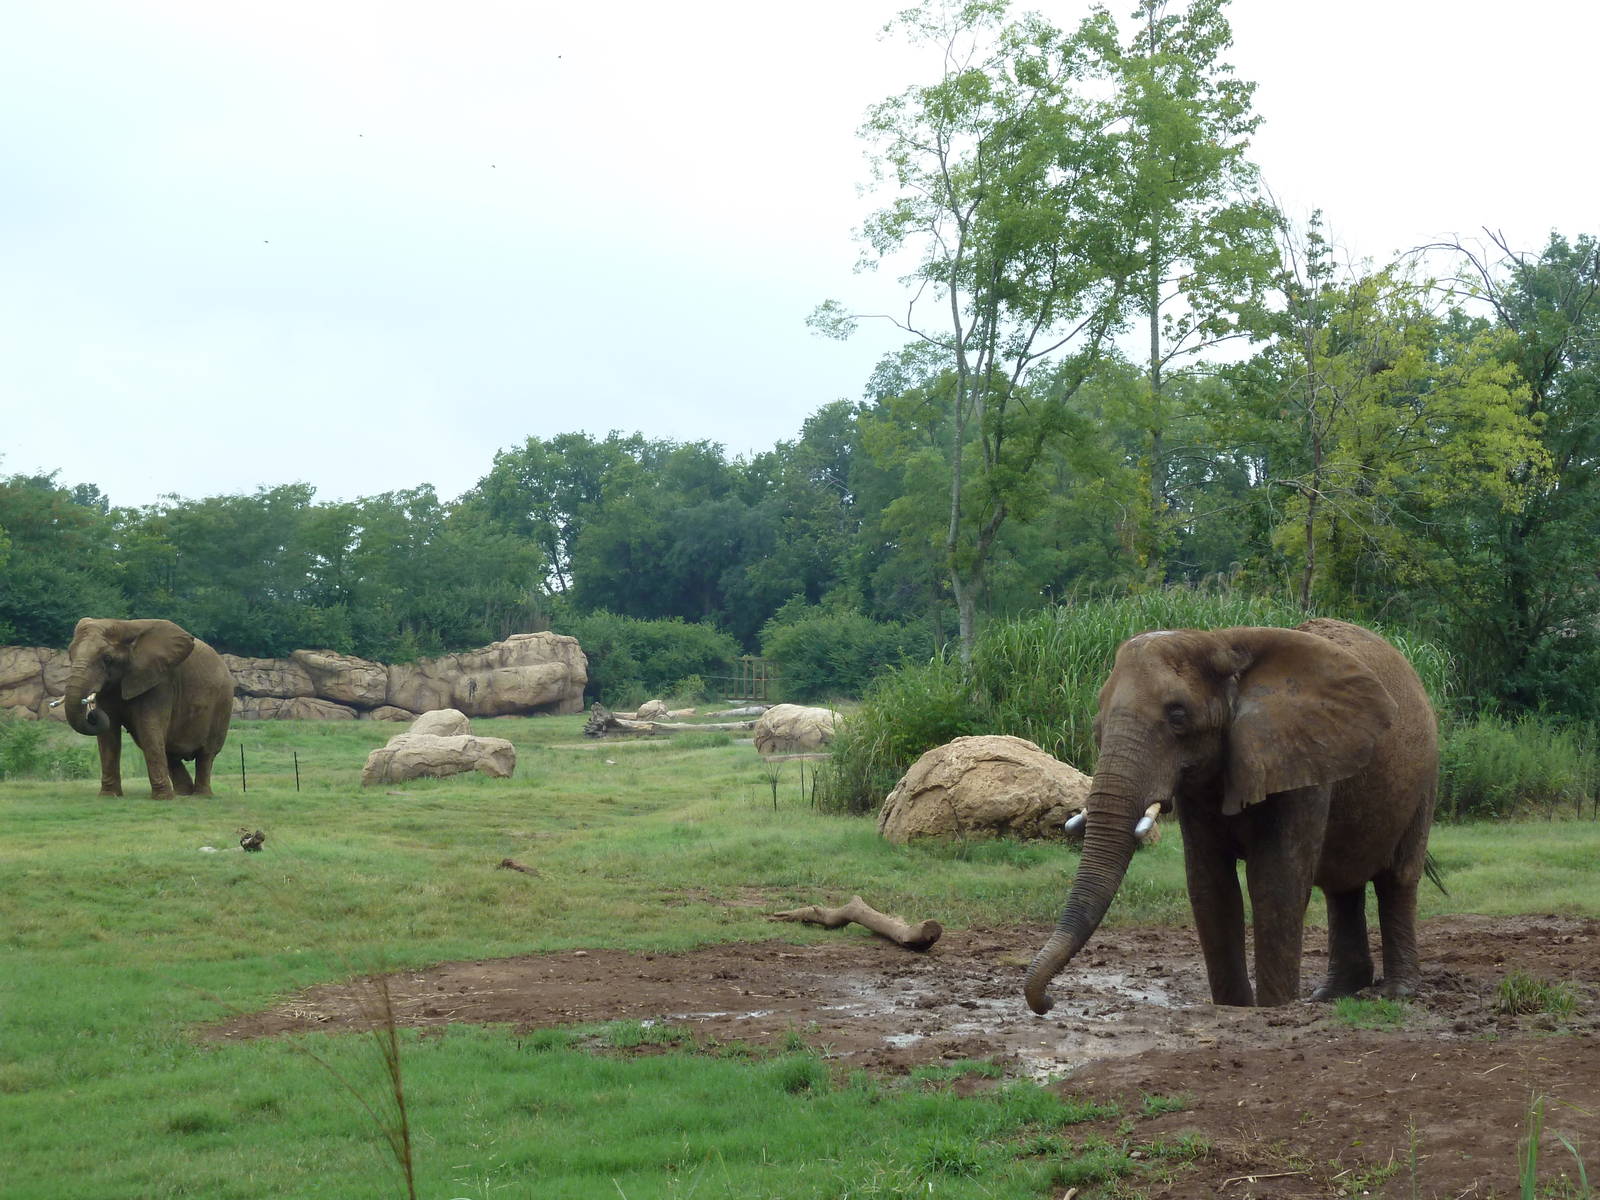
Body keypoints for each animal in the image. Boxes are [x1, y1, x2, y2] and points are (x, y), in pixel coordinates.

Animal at [63, 618, 234, 799]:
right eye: (70, 654)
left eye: (107, 659)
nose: (92, 713)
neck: (124, 625)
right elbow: (109, 735)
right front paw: (109, 796)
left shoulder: (160, 682)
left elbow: (149, 729)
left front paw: (162, 799)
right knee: (170, 753)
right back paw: (183, 794)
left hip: (222, 703)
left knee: (206, 754)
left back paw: (201, 796)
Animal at [1024, 618, 1437, 1012]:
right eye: (1098, 726)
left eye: (1177, 715)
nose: (1049, 1001)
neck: (1220, 641)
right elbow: (1210, 884)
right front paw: (1233, 1006)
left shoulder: (1298, 761)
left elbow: (1275, 882)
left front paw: (1273, 1008)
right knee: (1342, 885)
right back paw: (1331, 995)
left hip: (1425, 775)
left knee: (1398, 877)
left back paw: (1396, 992)